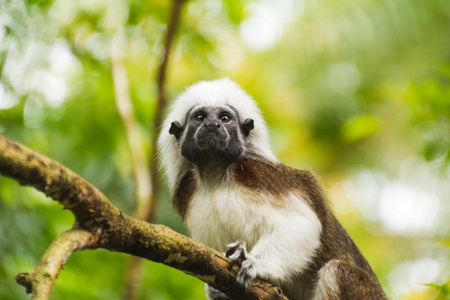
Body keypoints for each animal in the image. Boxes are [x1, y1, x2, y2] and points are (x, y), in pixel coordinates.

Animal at [157, 78, 386, 300]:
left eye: (224, 118)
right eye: (200, 117)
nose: (212, 125)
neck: (215, 177)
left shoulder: (260, 177)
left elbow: (301, 223)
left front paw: (255, 263)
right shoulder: (190, 195)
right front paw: (218, 292)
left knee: (336, 271)